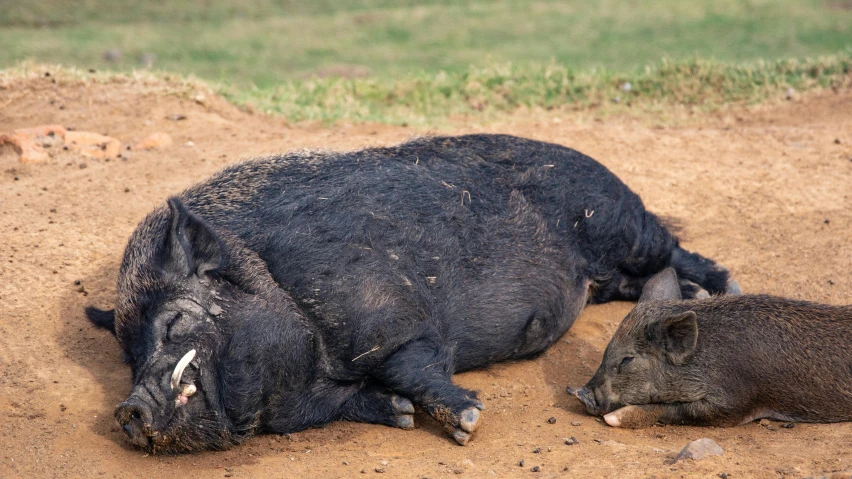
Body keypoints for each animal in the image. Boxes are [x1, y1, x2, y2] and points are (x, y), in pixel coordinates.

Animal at [88, 135, 740, 454]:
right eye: (127, 353)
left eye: (174, 323)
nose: (129, 410)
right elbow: (371, 400)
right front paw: (401, 417)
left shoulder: (399, 321)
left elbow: (413, 365)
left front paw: (468, 424)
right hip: (608, 268)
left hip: (618, 219)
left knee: (675, 248)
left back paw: (720, 291)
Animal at [568, 268, 852, 430]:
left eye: (628, 359)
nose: (577, 392)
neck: (704, 358)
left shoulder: (736, 402)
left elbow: (680, 410)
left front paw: (613, 419)